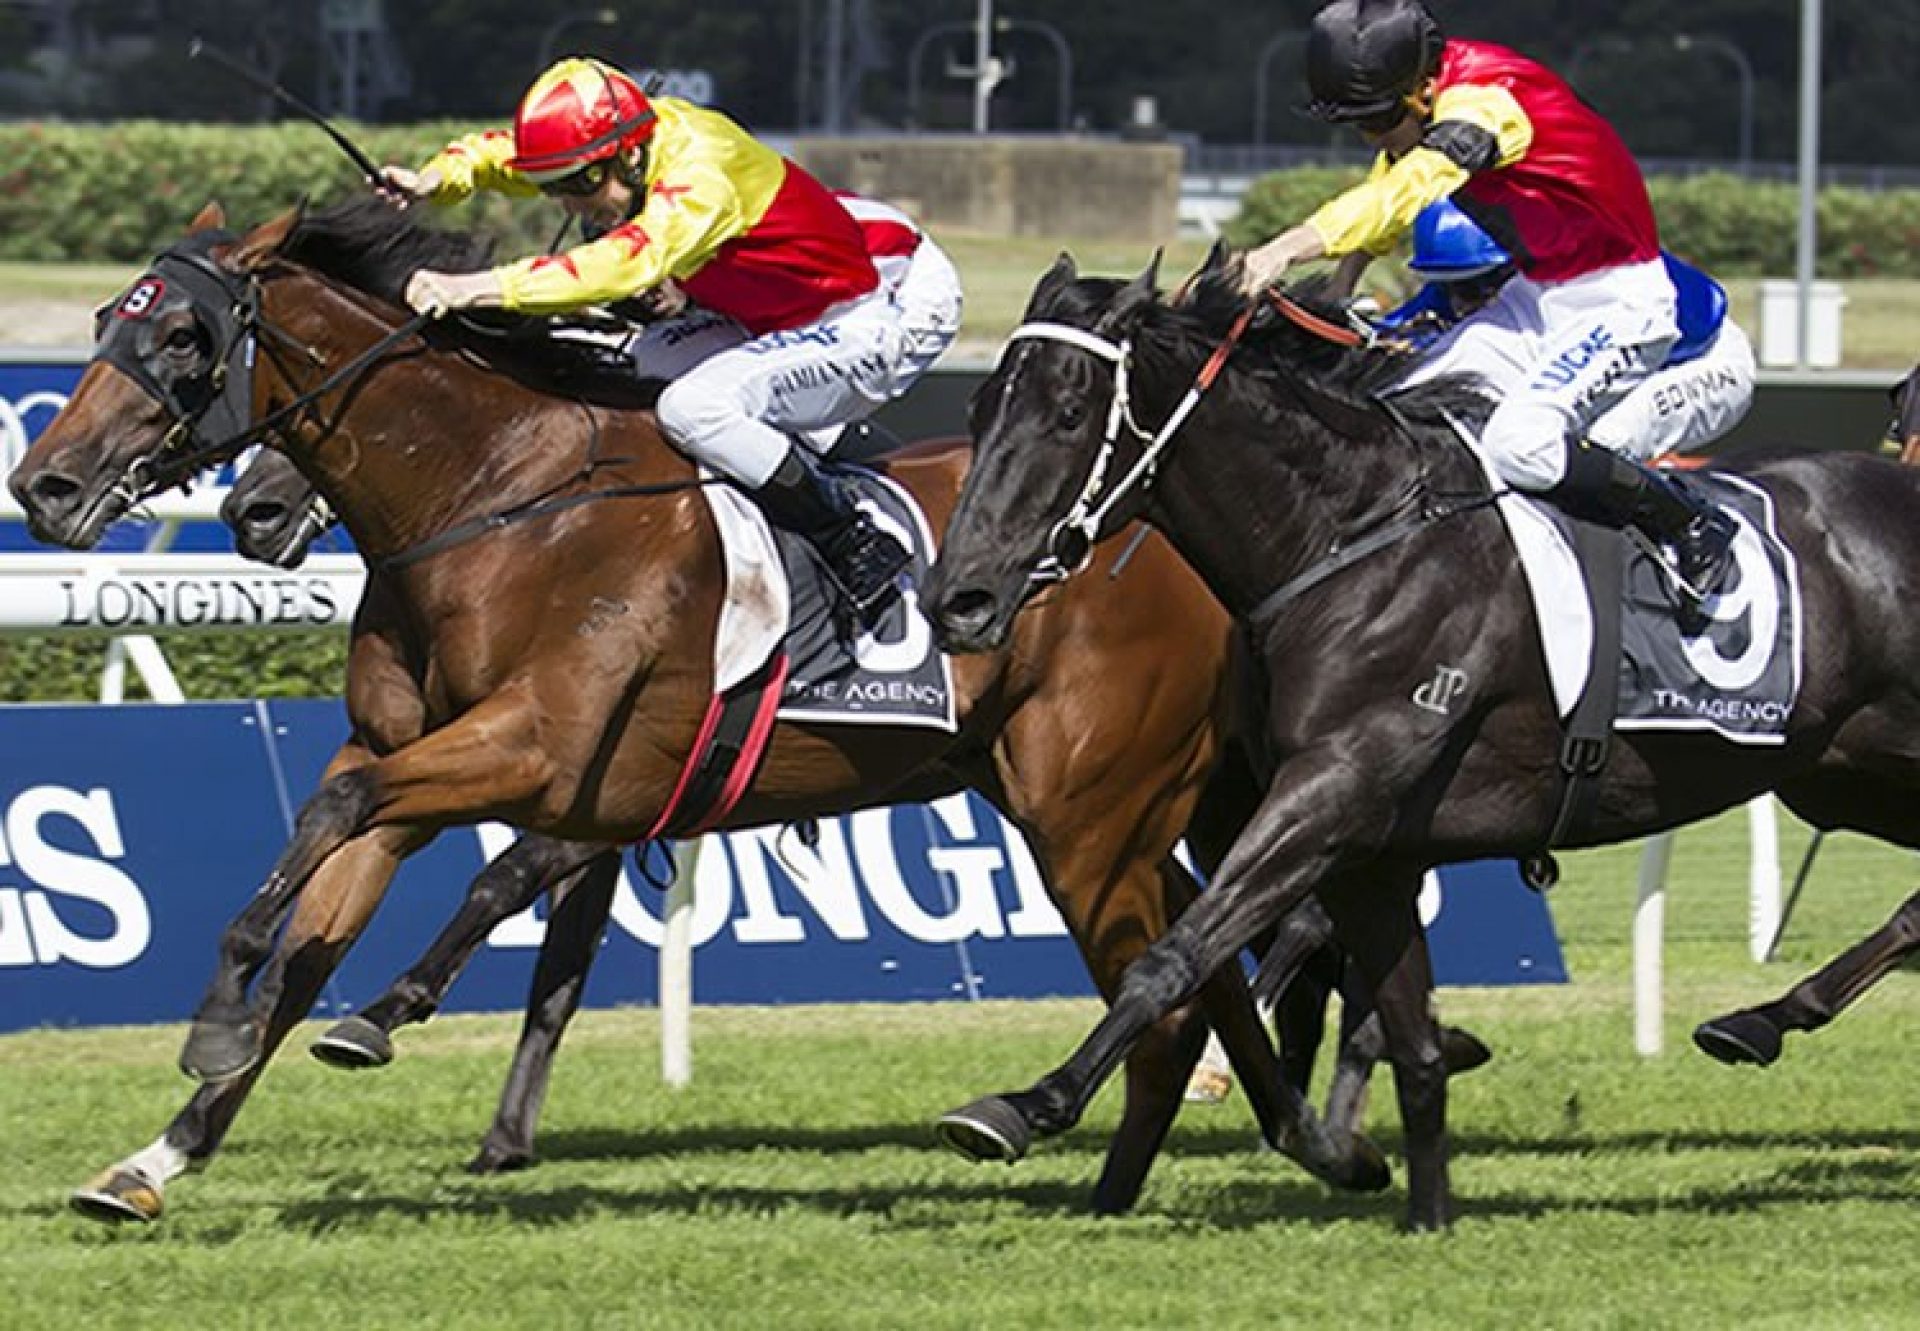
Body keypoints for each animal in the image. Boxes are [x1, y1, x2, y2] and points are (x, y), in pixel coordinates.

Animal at [7, 199, 1382, 1221]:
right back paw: (1302, 1143)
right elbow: (315, 927)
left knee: (1188, 967)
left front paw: (226, 1014)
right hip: (1115, 806)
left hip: (1089, 813)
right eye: (105, 320)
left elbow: (346, 829)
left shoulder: (535, 750)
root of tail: (1150, 520)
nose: (46, 483)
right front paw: (160, 1151)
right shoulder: (419, 750)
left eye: (183, 340)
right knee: (1214, 945)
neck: (503, 497)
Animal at [917, 249, 1920, 1221]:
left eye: (1068, 413)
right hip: (1841, 774)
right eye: (978, 406)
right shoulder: (1373, 851)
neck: (1349, 539)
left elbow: (1178, 955)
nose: (955, 598)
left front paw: (1026, 1103)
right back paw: (1759, 1019)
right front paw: (1413, 1199)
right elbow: (1408, 1041)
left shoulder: (1331, 794)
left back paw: (1764, 1016)